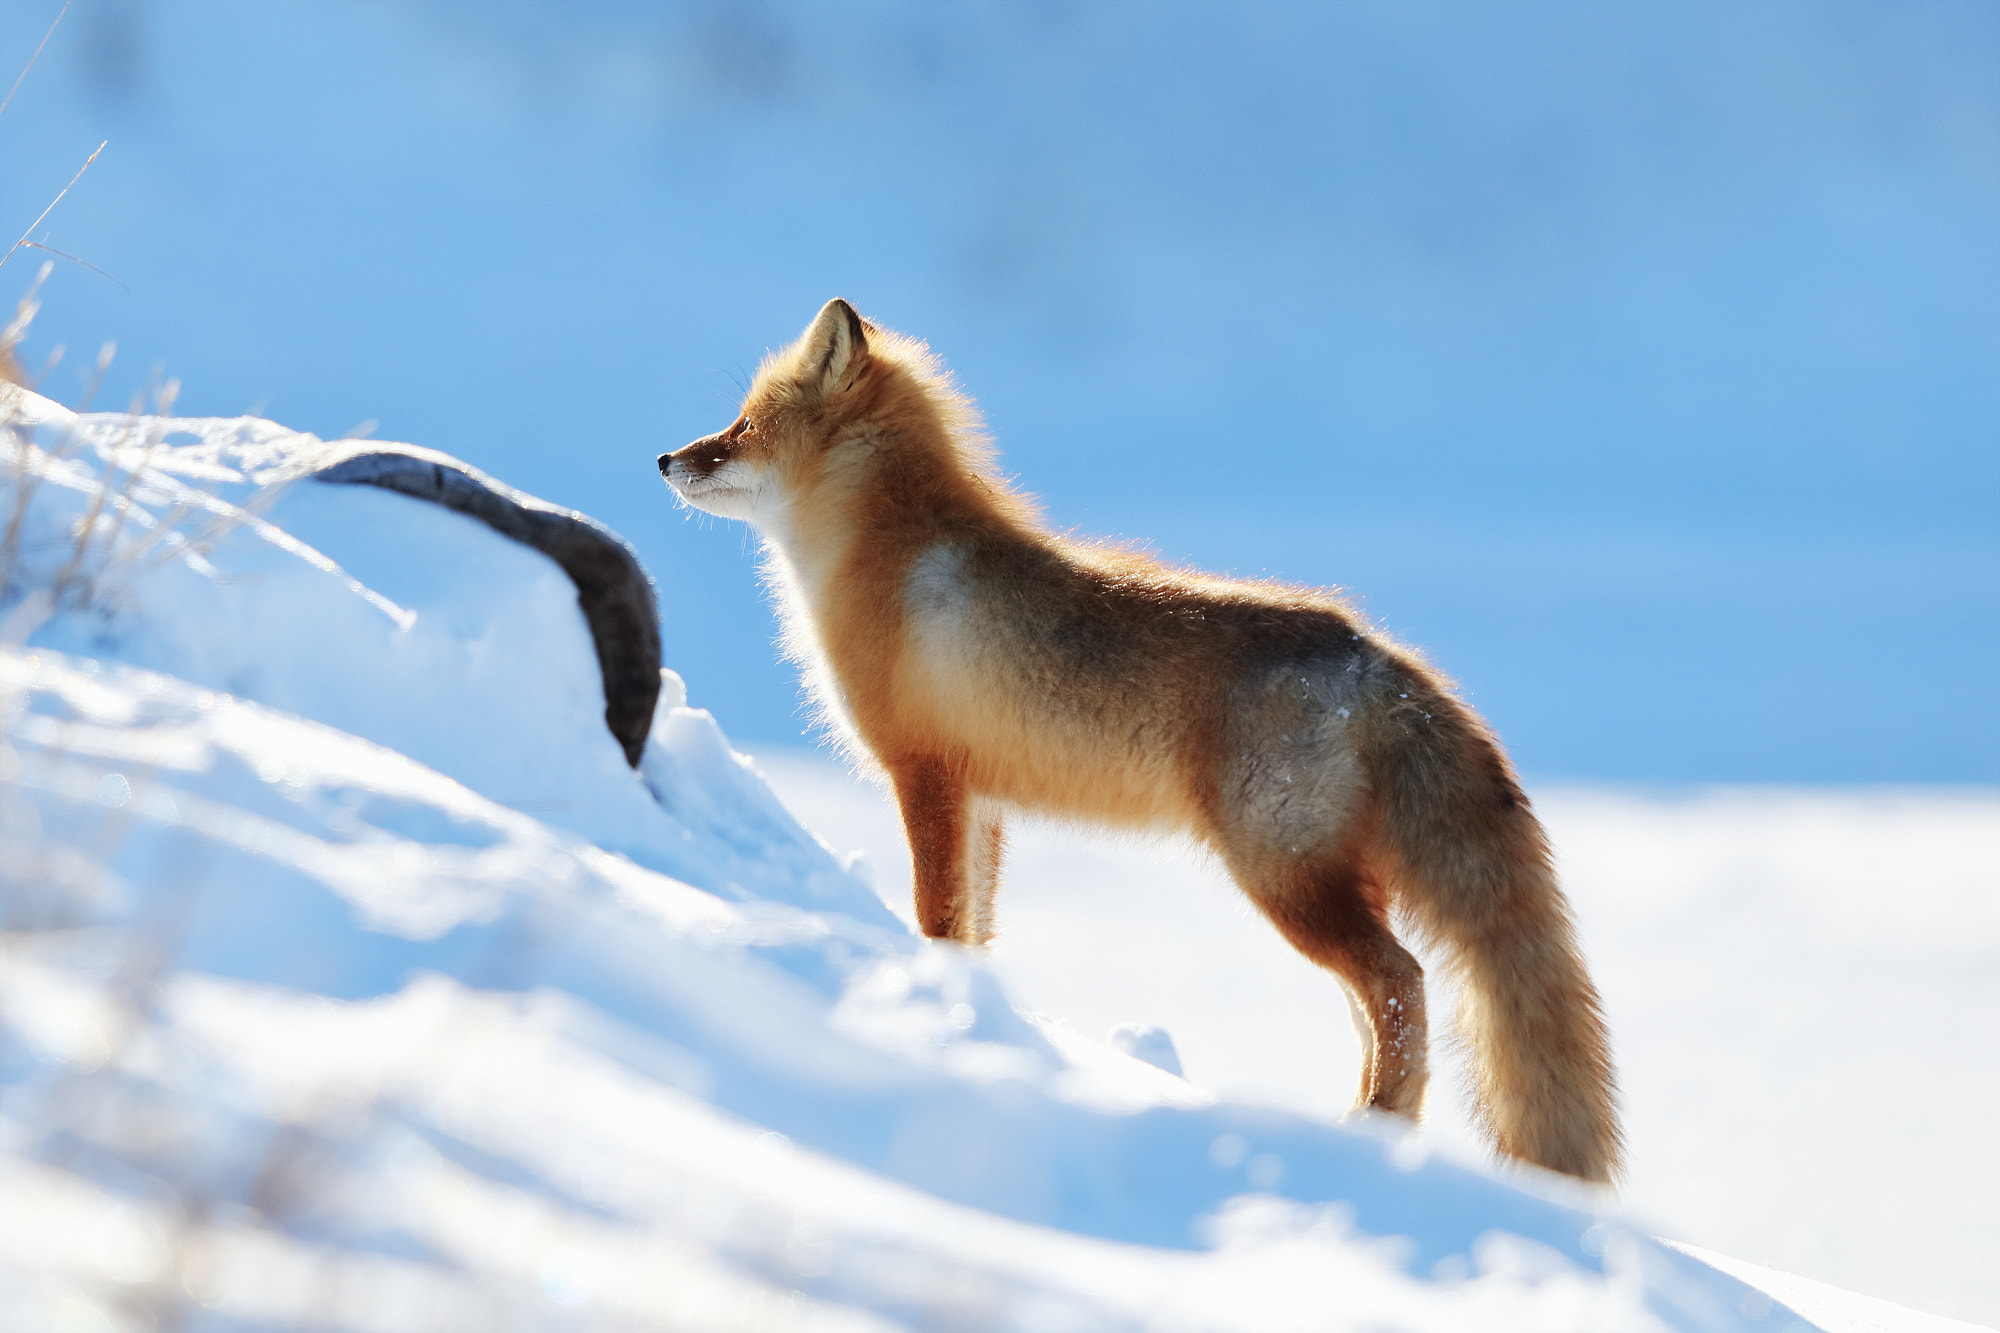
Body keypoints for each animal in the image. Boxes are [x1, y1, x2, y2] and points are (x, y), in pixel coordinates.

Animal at [658, 299, 1623, 1183]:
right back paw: (1379, 1123)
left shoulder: (923, 773)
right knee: (1379, 997)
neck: (886, 557)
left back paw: (1376, 1124)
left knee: (1400, 981)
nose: (665, 458)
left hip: (1282, 876)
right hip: (1328, 881)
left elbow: (935, 918)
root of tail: (1373, 652)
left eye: (742, 427)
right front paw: (975, 1019)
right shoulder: (984, 799)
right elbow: (976, 931)